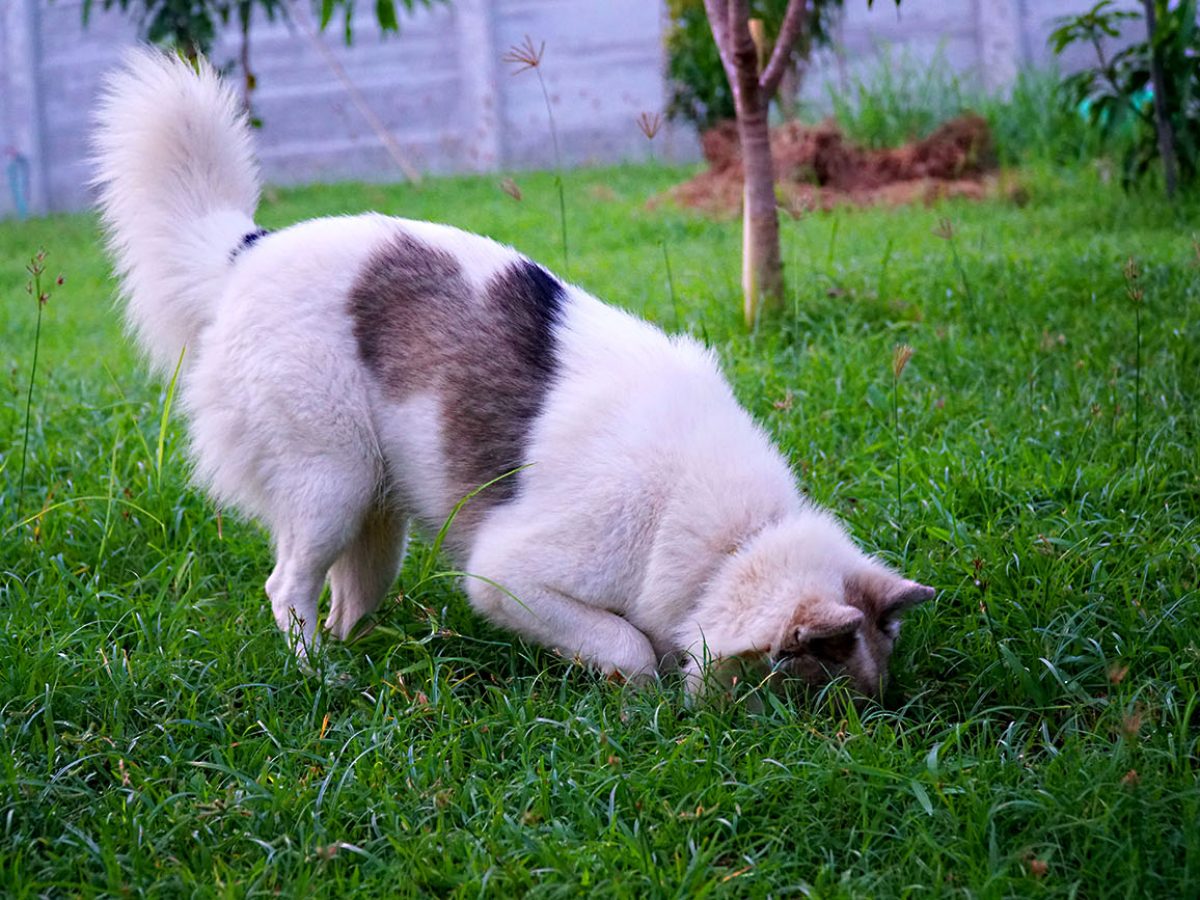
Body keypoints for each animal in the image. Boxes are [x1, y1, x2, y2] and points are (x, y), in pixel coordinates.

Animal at [96, 49, 936, 696]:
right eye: (817, 701)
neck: (729, 540)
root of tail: (247, 248)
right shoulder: (510, 576)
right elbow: (630, 646)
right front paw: (636, 699)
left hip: (377, 512)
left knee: (343, 600)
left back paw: (365, 666)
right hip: (329, 482)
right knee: (287, 589)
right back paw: (316, 680)